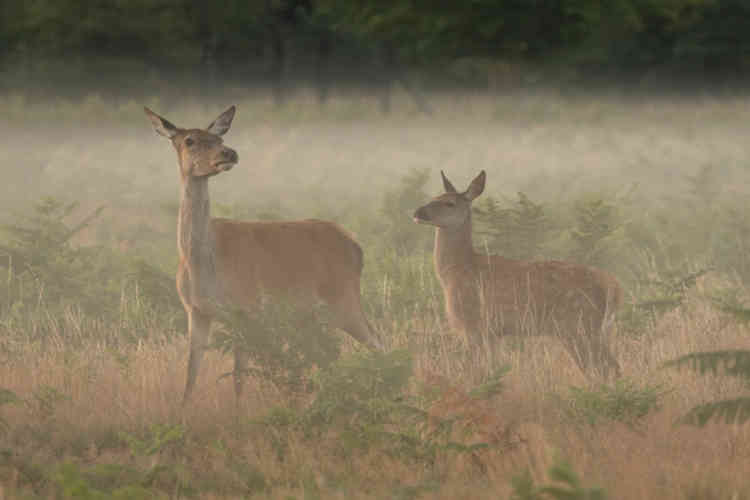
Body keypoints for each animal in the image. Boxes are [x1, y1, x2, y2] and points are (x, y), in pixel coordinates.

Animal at [145, 106, 384, 406]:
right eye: (190, 140)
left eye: (219, 138)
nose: (229, 153)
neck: (202, 263)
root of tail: (356, 246)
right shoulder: (195, 311)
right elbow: (190, 375)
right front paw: (183, 410)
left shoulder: (246, 308)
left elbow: (238, 375)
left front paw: (238, 411)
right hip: (313, 312)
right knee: (331, 353)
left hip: (343, 298)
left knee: (377, 341)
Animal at [412, 170, 624, 376]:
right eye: (434, 196)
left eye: (449, 203)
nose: (417, 212)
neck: (458, 270)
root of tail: (612, 286)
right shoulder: (493, 333)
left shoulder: (473, 325)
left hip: (580, 326)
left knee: (608, 368)